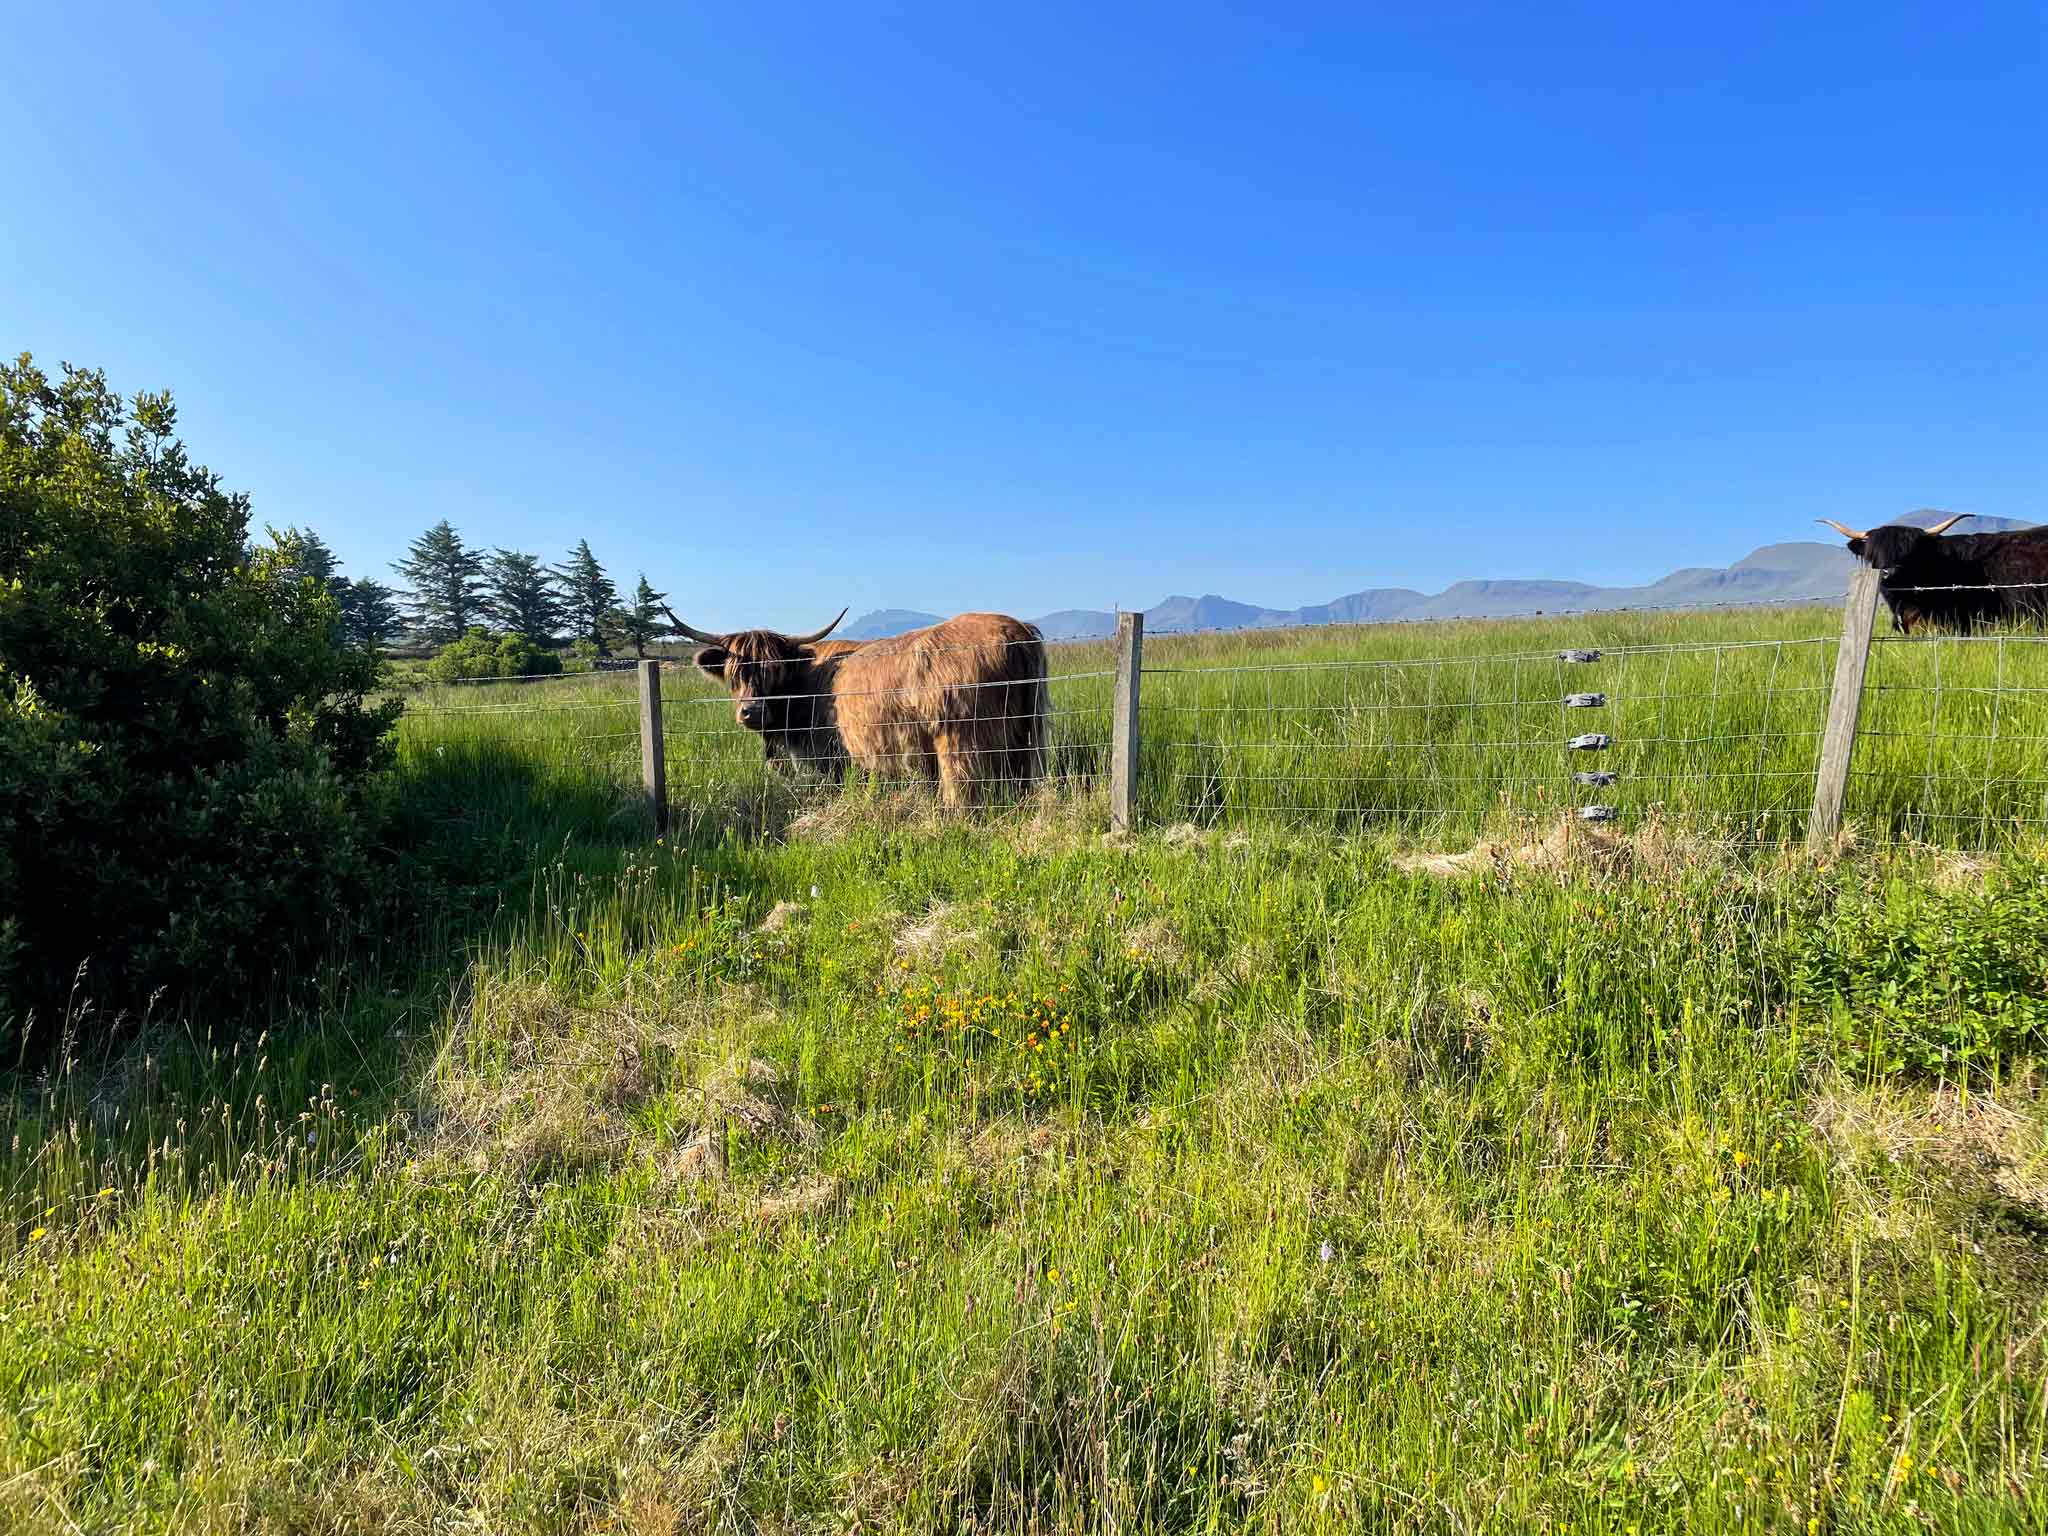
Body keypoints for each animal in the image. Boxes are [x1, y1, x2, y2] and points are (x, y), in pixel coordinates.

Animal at [661, 605, 1049, 806]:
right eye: (734, 673)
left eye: (775, 672)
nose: (751, 712)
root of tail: (1017, 630)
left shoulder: (829, 761)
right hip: (1023, 738)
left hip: (960, 745)